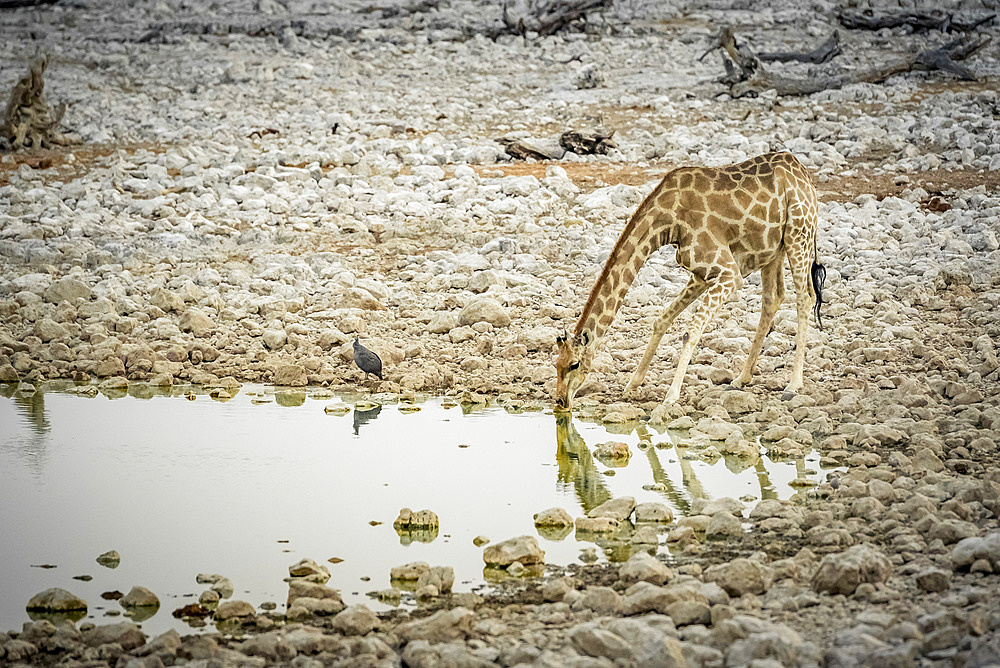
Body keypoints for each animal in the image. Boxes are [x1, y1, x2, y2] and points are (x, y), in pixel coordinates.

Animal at [556, 152, 828, 412]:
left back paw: (793, 385)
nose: (560, 401)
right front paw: (632, 383)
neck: (667, 221)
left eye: (574, 364)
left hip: (798, 235)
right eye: (556, 364)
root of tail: (802, 172)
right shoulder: (701, 274)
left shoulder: (728, 273)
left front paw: (670, 397)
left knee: (805, 297)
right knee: (773, 298)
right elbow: (661, 320)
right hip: (773, 249)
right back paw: (740, 379)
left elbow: (691, 332)